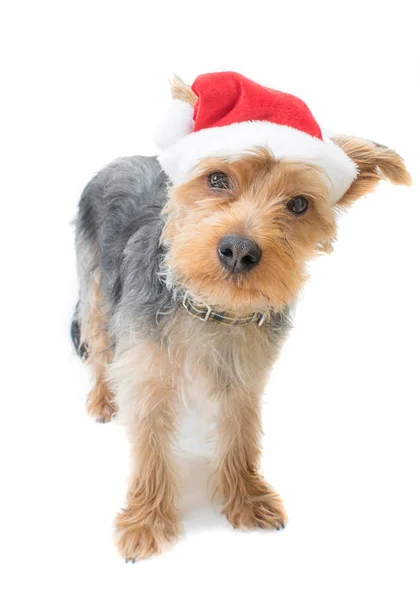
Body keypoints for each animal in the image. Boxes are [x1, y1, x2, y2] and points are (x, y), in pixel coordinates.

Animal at [72, 72, 412, 560]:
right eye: (217, 178)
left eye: (298, 204)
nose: (238, 250)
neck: (212, 308)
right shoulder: (147, 370)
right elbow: (151, 448)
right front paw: (146, 522)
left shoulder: (244, 377)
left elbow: (241, 436)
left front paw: (247, 501)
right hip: (96, 284)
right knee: (98, 342)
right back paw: (102, 397)